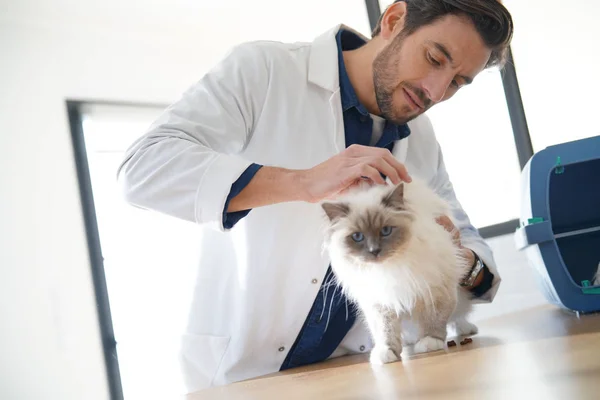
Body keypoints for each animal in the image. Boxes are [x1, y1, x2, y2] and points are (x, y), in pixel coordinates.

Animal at [318, 179, 478, 366]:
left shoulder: (435, 287)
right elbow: (385, 332)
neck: (389, 267)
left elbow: (435, 319)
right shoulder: (380, 302)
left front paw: (430, 341)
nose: (374, 251)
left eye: (386, 231)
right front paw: (387, 353)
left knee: (458, 316)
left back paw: (466, 329)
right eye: (357, 237)